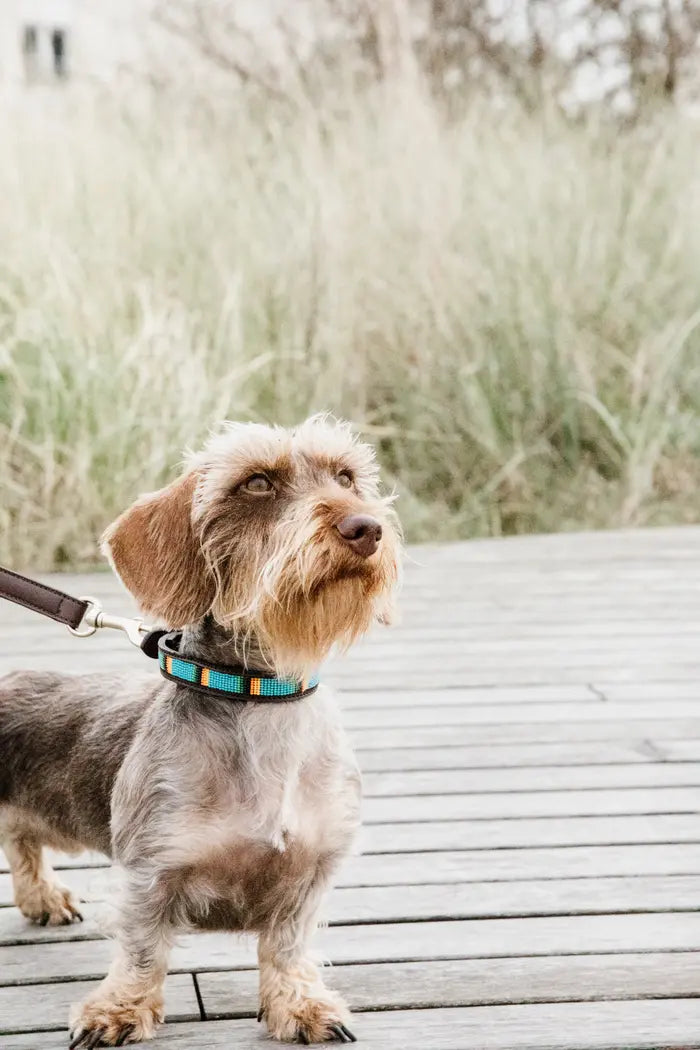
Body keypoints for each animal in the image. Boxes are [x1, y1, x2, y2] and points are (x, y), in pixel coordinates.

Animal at [0, 413, 402, 1045]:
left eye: (346, 477)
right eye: (257, 483)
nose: (366, 528)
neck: (257, 696)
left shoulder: (311, 870)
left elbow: (287, 948)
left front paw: (300, 1005)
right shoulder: (151, 868)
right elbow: (142, 949)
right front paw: (118, 1010)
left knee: (21, 839)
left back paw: (41, 897)